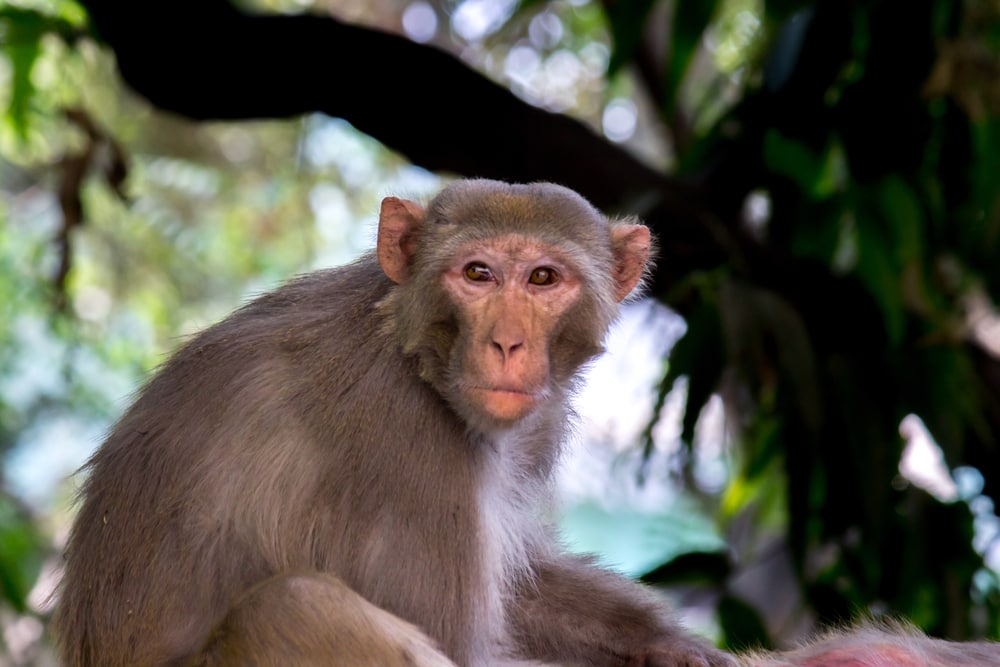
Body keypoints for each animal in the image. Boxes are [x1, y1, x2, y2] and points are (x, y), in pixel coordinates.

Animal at [52, 179, 737, 667]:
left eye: (543, 278)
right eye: (478, 273)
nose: (508, 344)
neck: (416, 352)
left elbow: (516, 588)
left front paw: (668, 644)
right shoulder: (405, 444)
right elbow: (459, 645)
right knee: (295, 606)